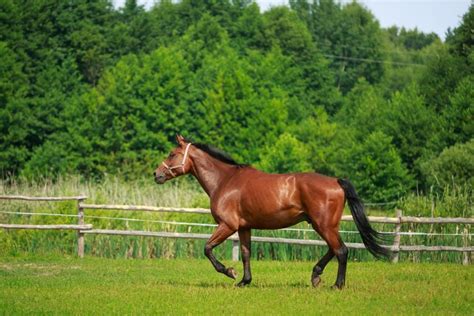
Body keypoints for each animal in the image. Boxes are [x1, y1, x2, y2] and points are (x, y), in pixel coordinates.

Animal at [154, 135, 390, 288]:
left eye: (172, 154)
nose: (157, 174)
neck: (225, 180)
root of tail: (336, 181)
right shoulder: (244, 227)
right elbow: (246, 253)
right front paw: (244, 281)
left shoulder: (227, 225)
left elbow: (207, 248)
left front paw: (230, 272)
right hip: (323, 225)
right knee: (335, 249)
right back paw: (316, 275)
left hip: (323, 225)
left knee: (341, 250)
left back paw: (336, 285)